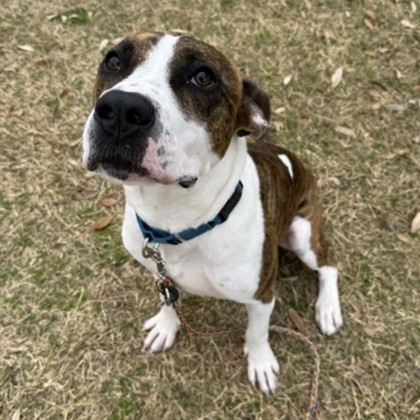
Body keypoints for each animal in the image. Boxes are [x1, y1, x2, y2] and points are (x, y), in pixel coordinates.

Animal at [82, 32, 343, 394]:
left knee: (329, 263)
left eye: (203, 77)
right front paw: (166, 326)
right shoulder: (160, 273)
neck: (178, 223)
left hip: (302, 234)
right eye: (114, 61)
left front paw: (261, 362)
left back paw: (328, 309)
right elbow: (168, 301)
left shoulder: (262, 295)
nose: (120, 108)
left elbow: (258, 332)